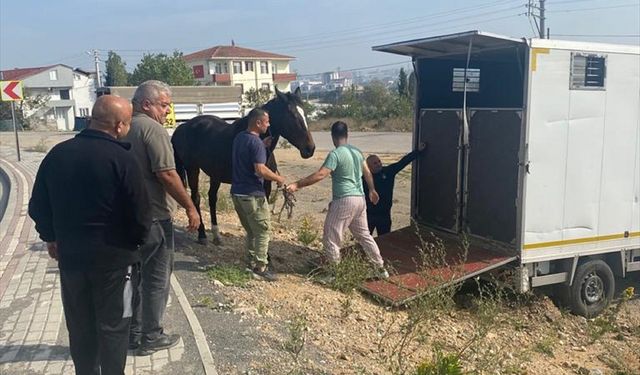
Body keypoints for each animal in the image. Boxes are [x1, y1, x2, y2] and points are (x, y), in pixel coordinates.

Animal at [171, 87, 314, 245]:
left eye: (305, 113)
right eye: (292, 115)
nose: (310, 148)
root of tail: (182, 127)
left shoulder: (265, 185)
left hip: (215, 174)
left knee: (211, 198)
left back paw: (216, 235)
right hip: (192, 169)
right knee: (195, 198)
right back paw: (202, 234)